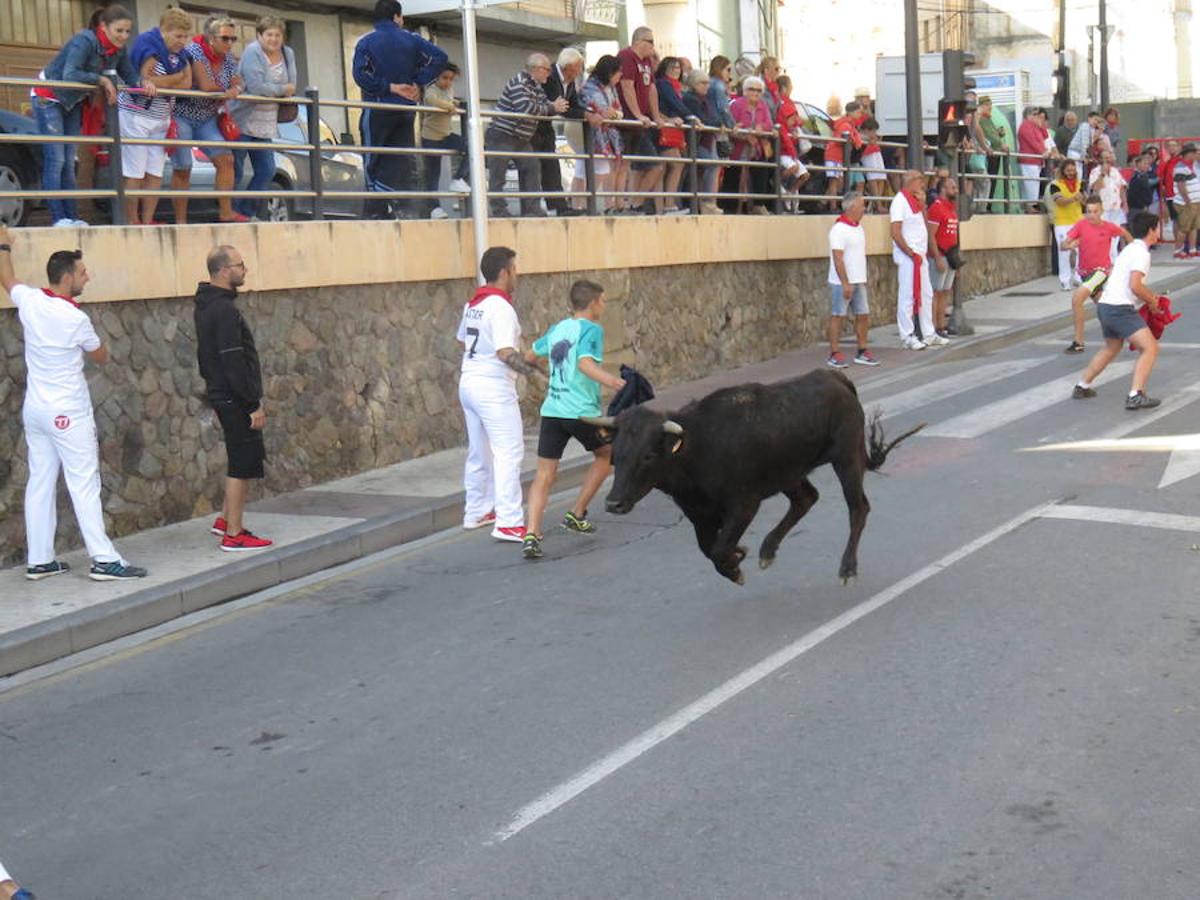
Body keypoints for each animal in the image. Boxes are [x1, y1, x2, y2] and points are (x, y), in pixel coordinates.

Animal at [585, 372, 921, 588]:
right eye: (616, 454)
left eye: (647, 456)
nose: (613, 503)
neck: (697, 446)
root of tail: (835, 378)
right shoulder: (699, 515)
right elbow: (709, 549)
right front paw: (739, 557)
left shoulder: (744, 505)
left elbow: (719, 548)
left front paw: (736, 564)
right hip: (789, 473)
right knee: (806, 499)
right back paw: (767, 550)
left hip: (847, 460)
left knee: (857, 508)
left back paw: (847, 569)